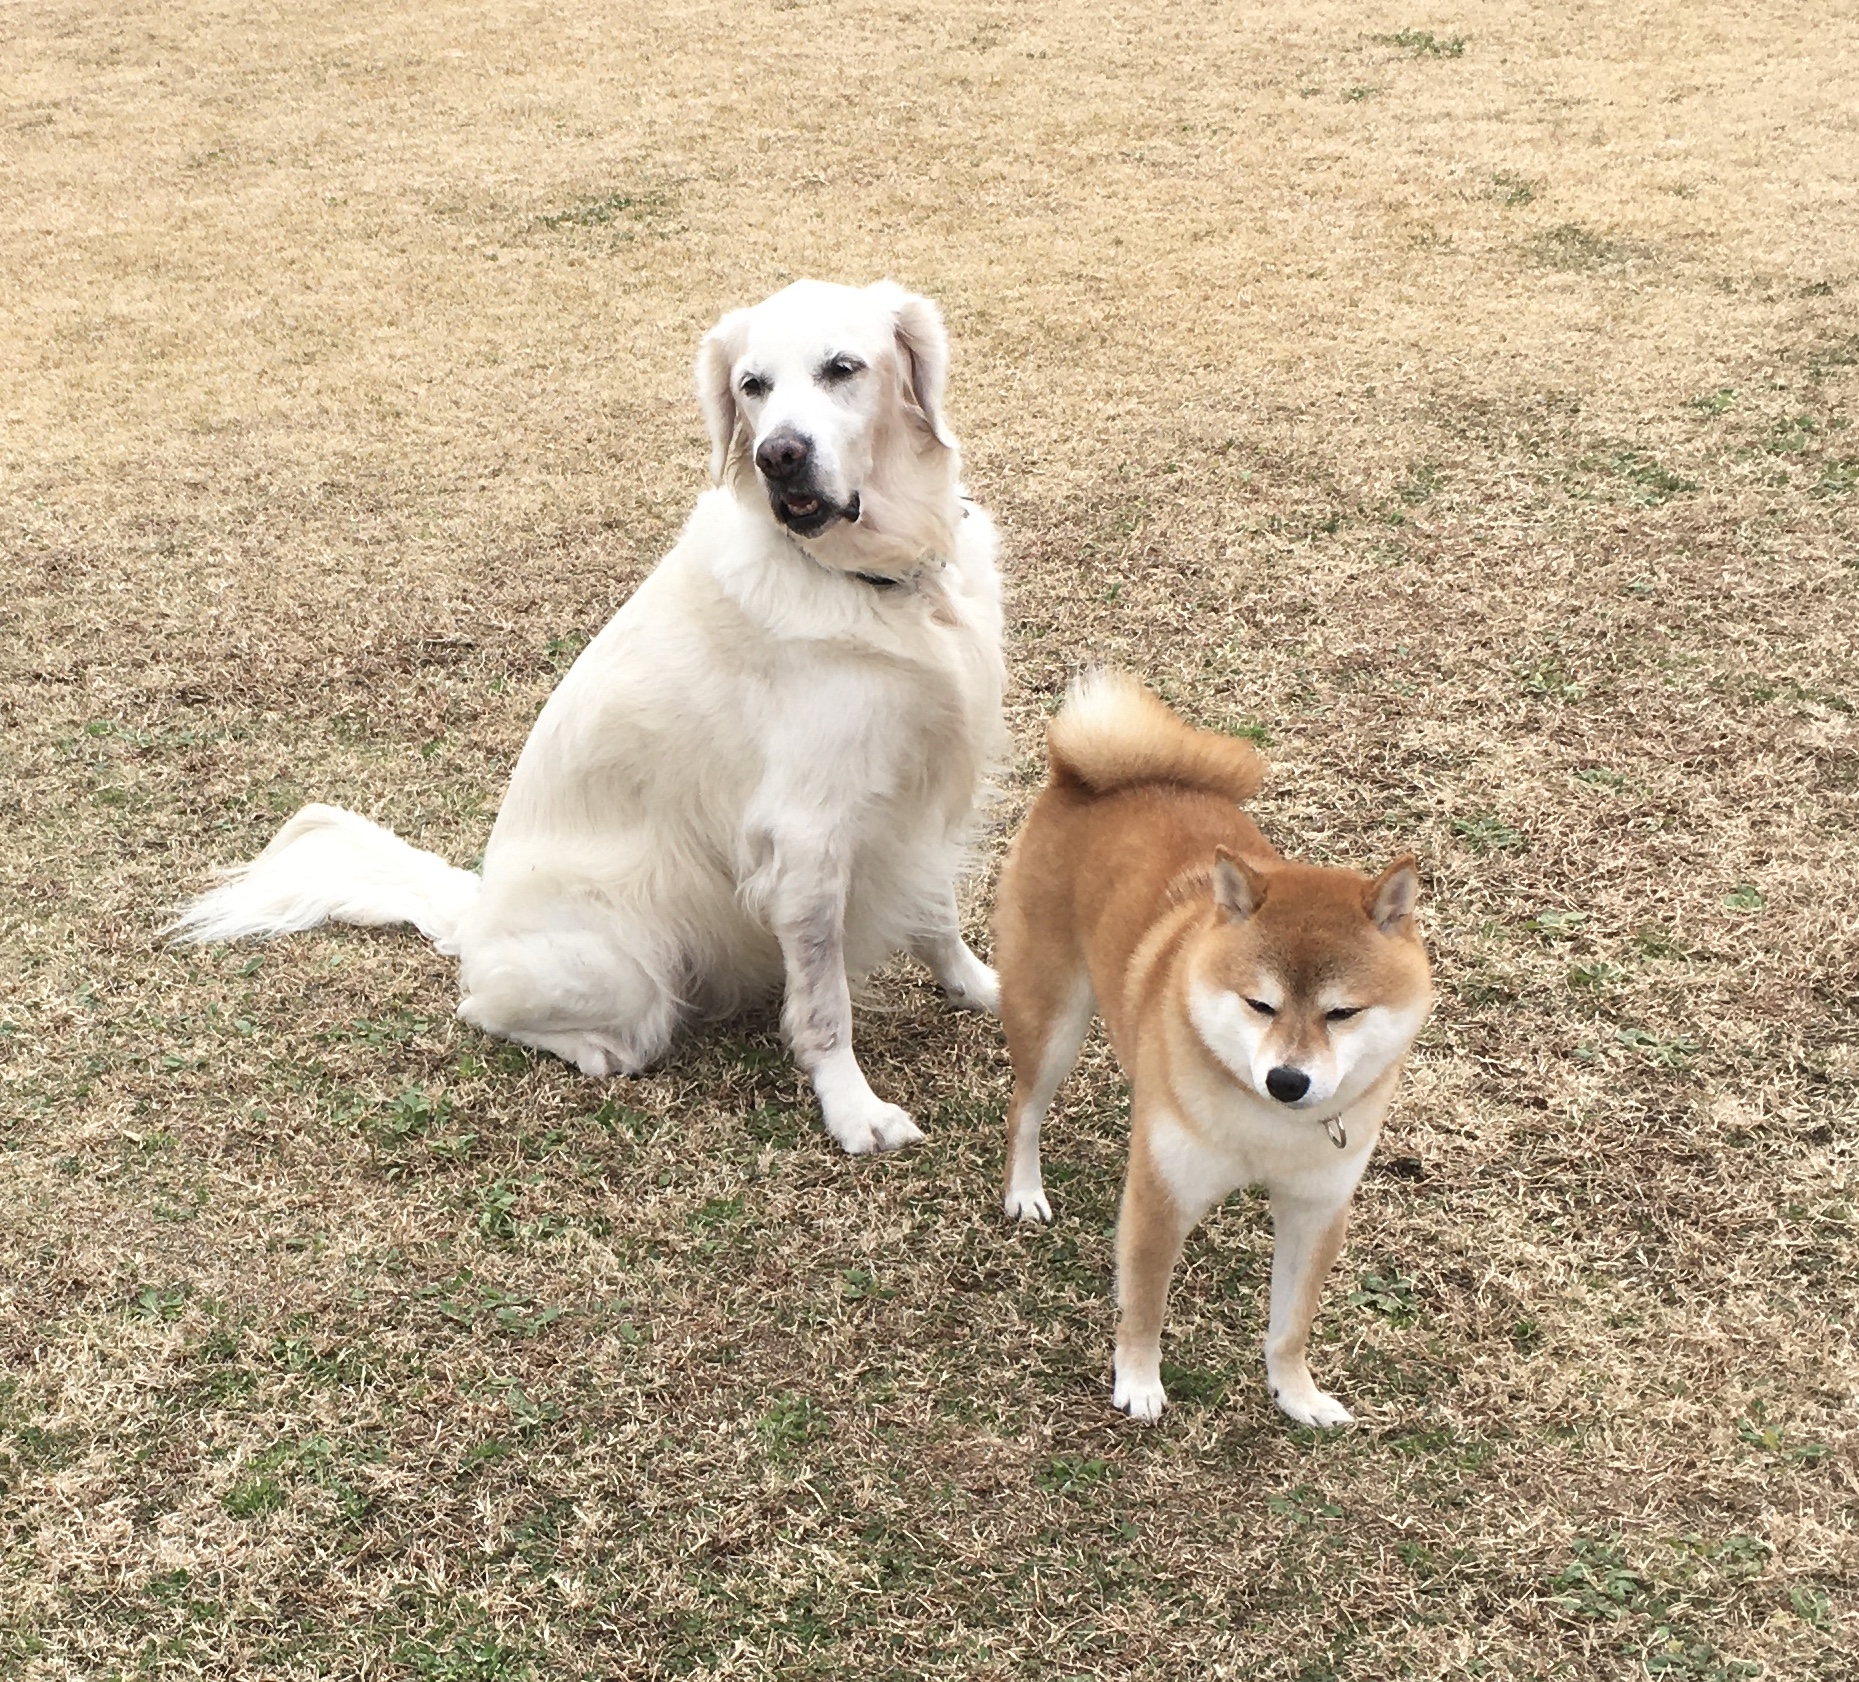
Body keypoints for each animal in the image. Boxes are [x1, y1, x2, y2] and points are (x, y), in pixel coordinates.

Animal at [173, 279, 1006, 1155]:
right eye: (753, 386)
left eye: (842, 368)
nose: (776, 455)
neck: (878, 579)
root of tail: (475, 912)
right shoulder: (807, 838)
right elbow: (823, 1007)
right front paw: (852, 1108)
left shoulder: (922, 789)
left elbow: (936, 914)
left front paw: (980, 989)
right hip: (628, 959)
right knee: (489, 1008)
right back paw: (599, 1050)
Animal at [991, 673, 1432, 1423]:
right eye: (1260, 1005)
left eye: (1342, 1013)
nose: (1288, 1081)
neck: (1267, 1124)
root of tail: (1082, 774)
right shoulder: (1159, 1197)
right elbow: (1143, 1303)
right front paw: (1138, 1383)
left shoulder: (1316, 1210)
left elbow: (1291, 1325)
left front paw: (1296, 1394)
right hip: (1050, 1019)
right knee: (1025, 1109)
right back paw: (1024, 1190)